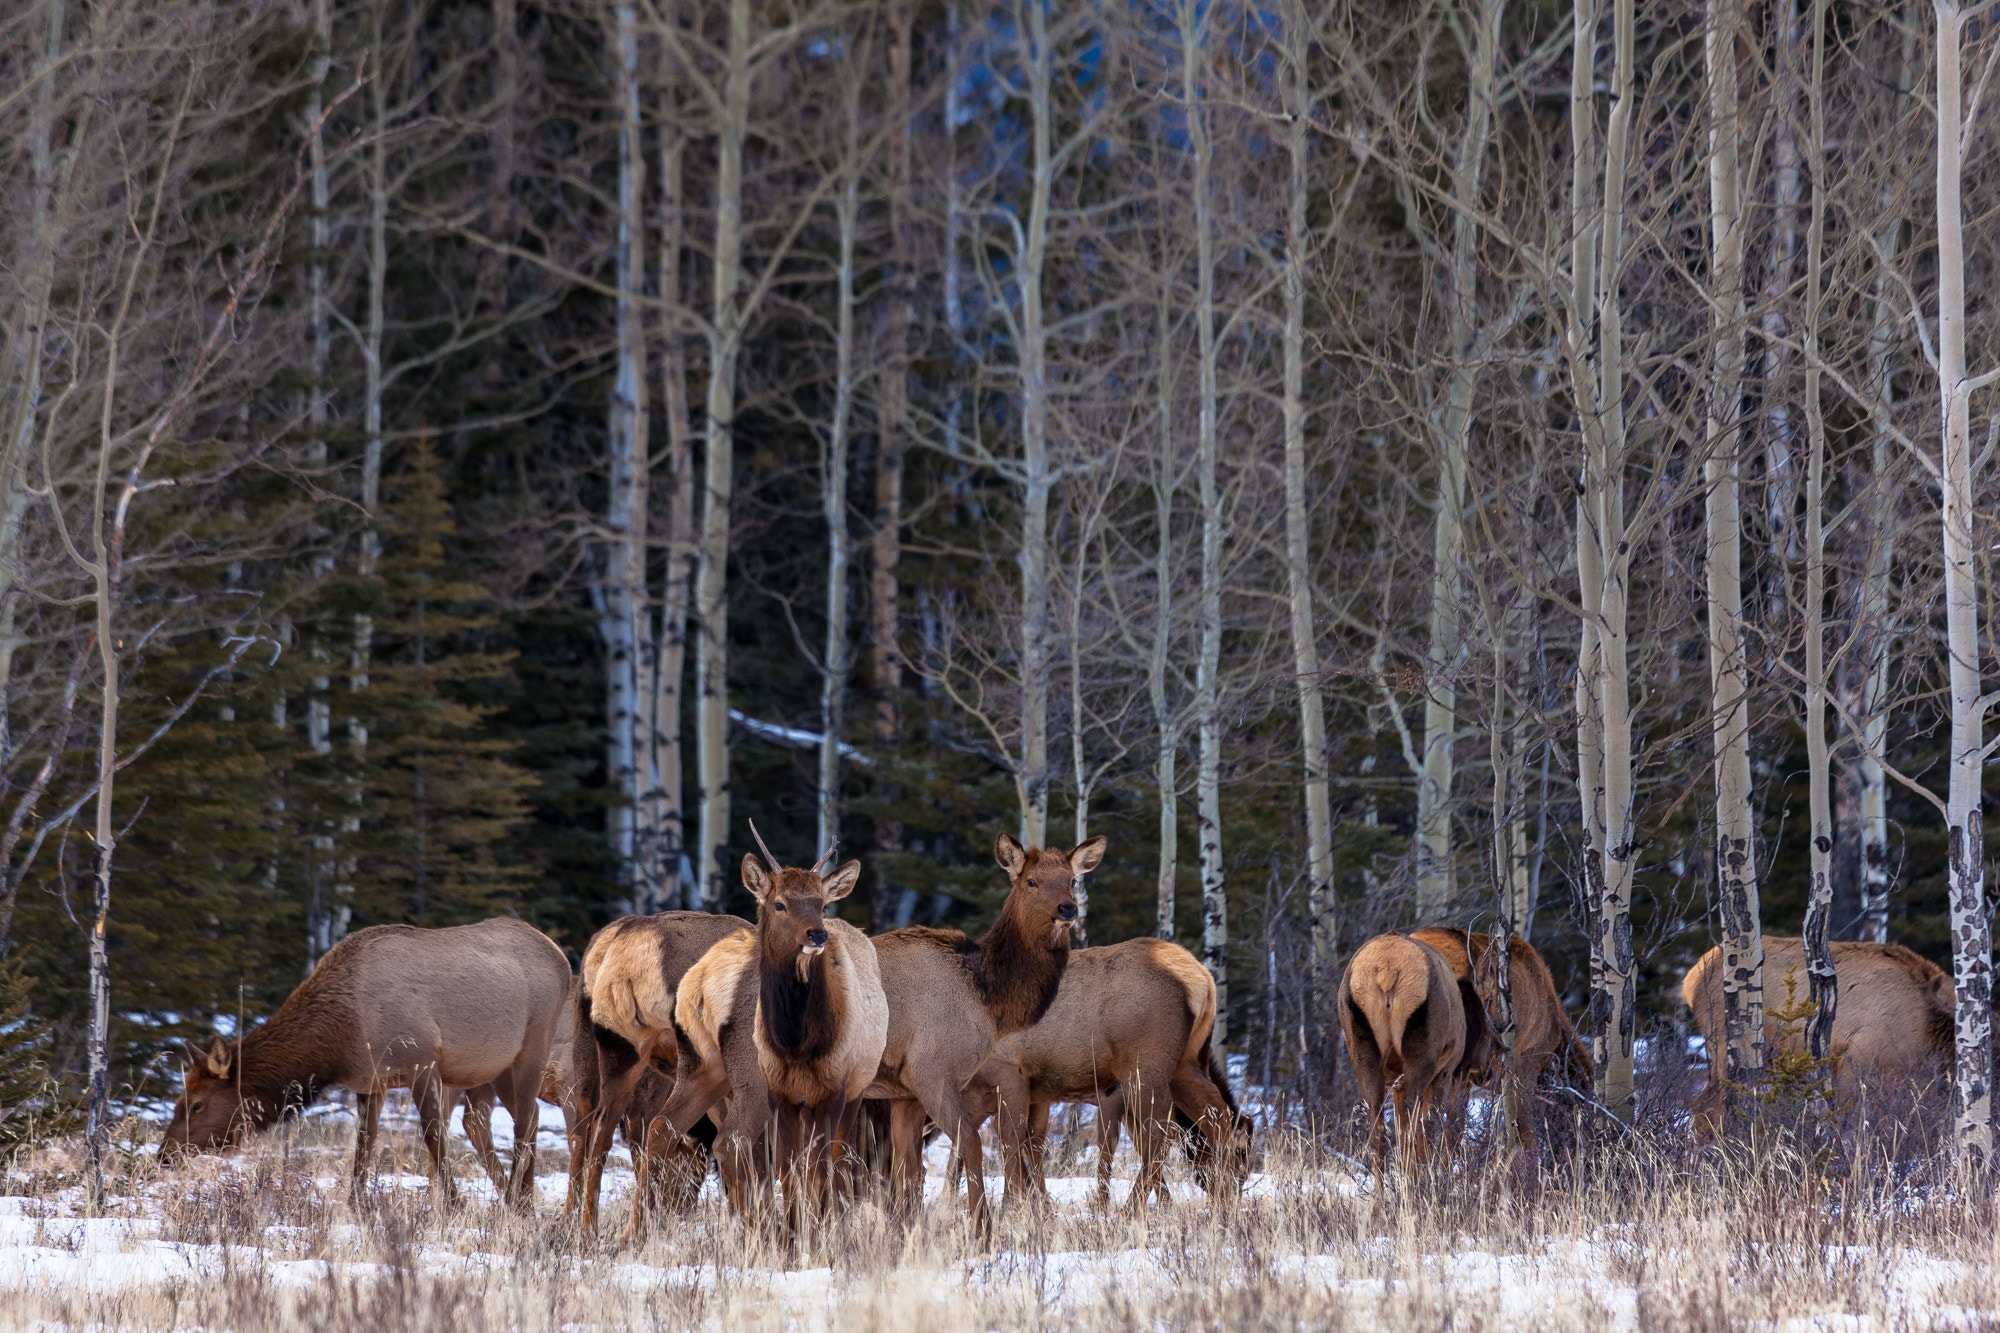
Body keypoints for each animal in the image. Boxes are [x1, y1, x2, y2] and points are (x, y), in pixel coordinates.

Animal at [161, 912, 572, 1200]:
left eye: (196, 1104)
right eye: (179, 1099)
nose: (164, 1154)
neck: (339, 1040)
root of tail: (559, 955)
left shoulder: (421, 1058)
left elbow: (432, 1132)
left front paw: (455, 1202)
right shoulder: (370, 1080)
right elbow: (364, 1141)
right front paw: (357, 1203)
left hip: (533, 1045)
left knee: (526, 1121)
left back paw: (521, 1200)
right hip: (487, 1066)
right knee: (505, 1119)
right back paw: (515, 1200)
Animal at [956, 932, 1248, 1200]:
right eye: (1243, 1150)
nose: (1241, 1184)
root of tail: (1203, 979)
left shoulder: (1010, 1075)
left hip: (1144, 1064)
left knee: (1162, 1130)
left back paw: (1133, 1209)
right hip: (1184, 1063)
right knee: (1215, 1114)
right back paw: (1224, 1204)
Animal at [1336, 928, 1496, 1168]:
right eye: (1487, 1028)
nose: (1486, 1071)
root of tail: (1388, 970)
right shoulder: (1446, 1071)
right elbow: (1430, 1125)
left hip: (1362, 1050)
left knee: (1377, 1119)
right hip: (1423, 1053)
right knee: (1410, 1115)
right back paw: (1412, 1176)